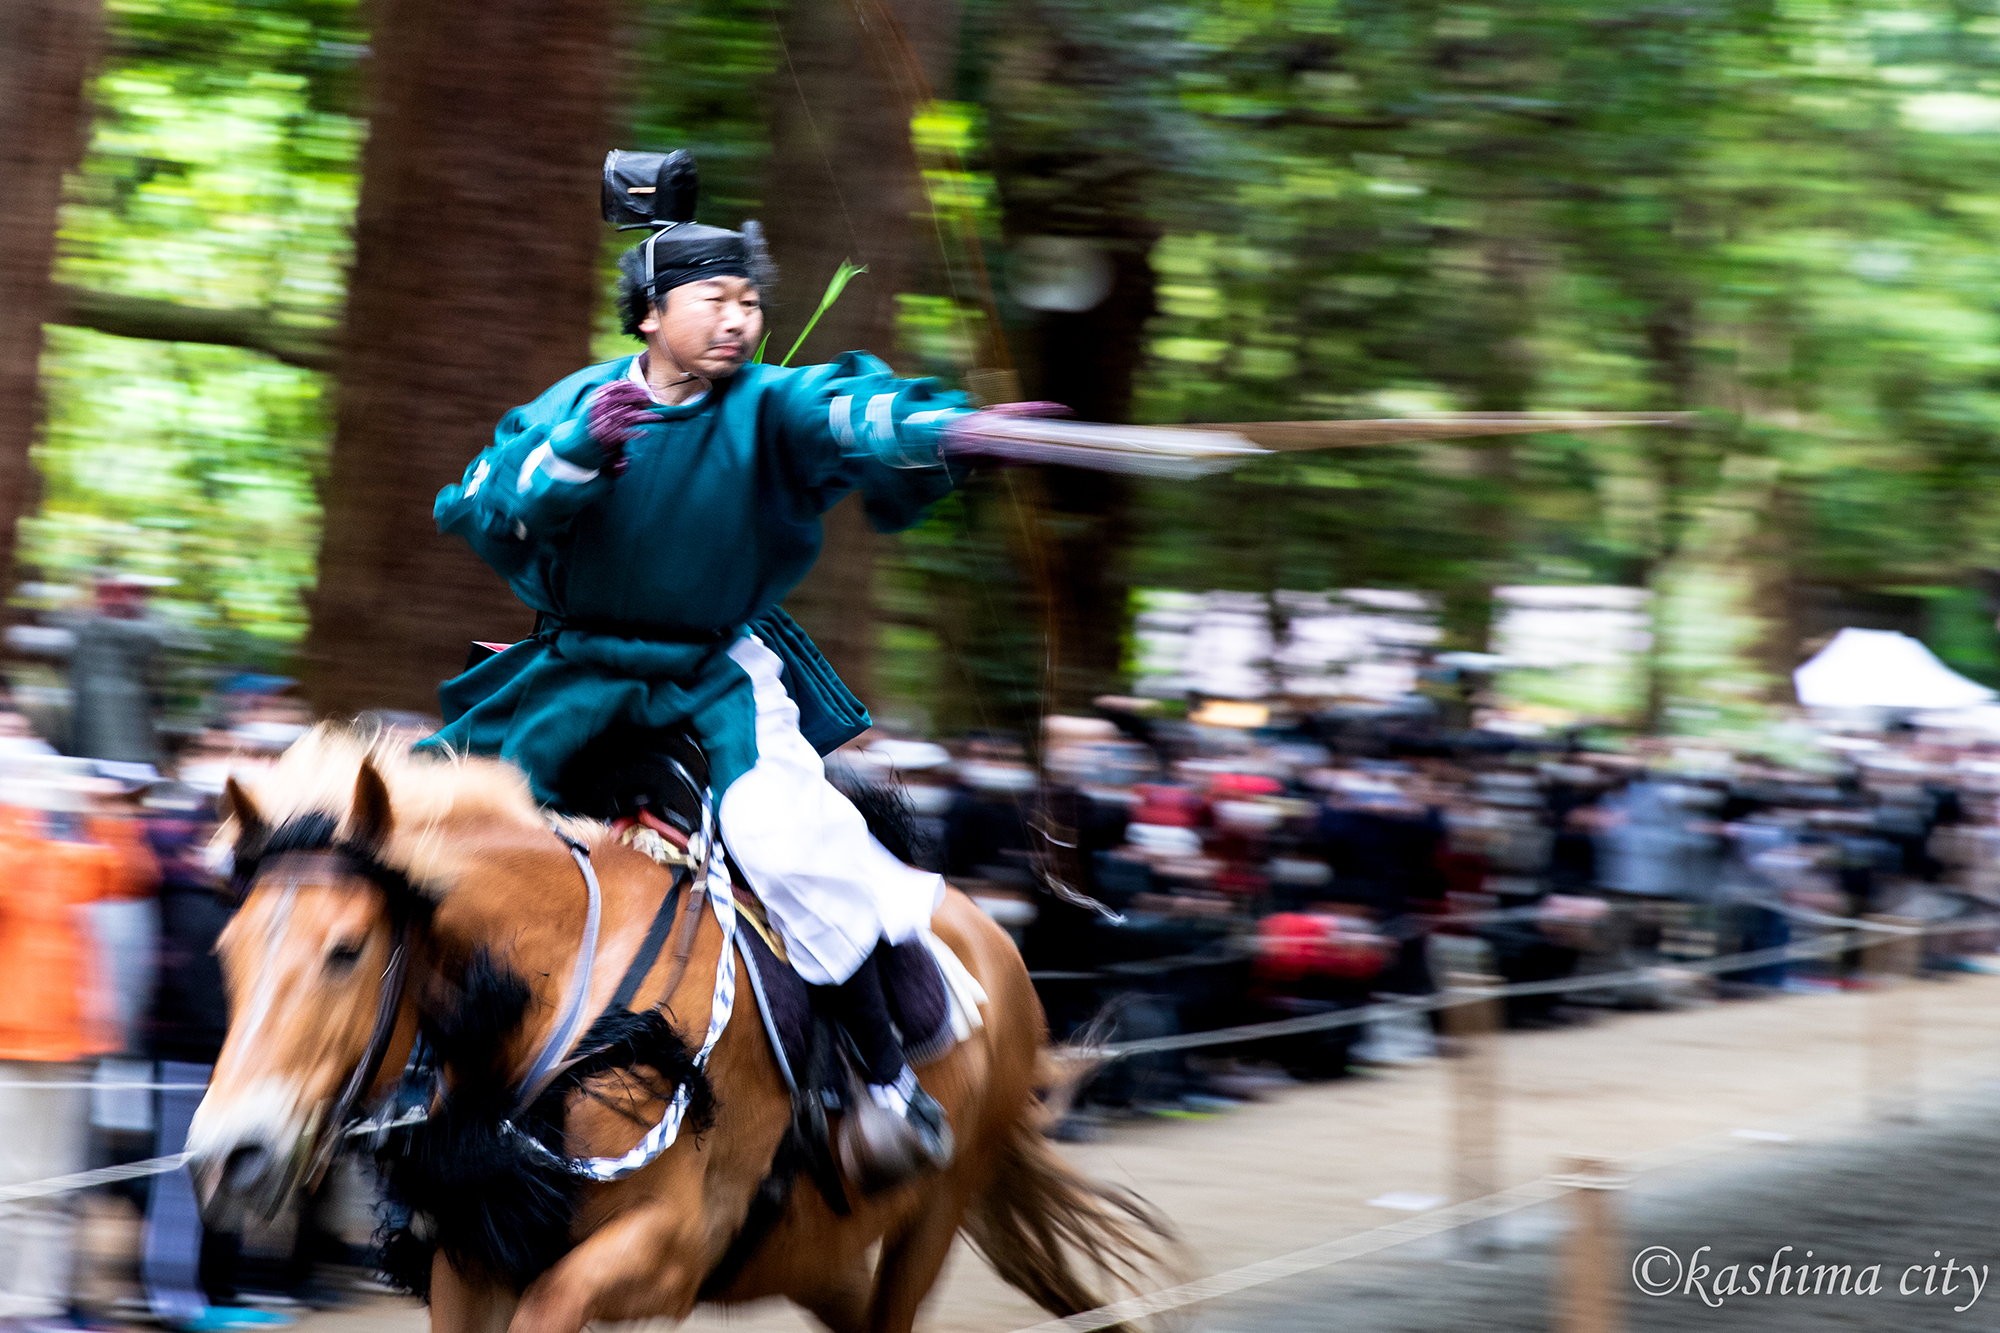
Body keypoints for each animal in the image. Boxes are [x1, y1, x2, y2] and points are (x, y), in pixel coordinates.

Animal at [189, 728, 1168, 1328]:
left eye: (346, 950)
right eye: (225, 951)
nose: (229, 1152)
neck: (561, 997)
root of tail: (999, 940)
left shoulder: (668, 1247)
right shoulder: (479, 1249)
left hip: (932, 1213)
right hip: (816, 1250)